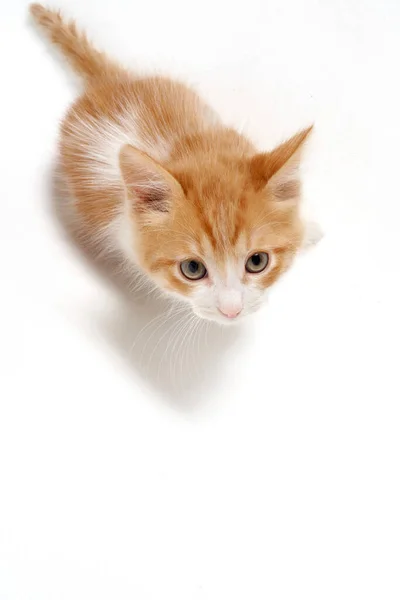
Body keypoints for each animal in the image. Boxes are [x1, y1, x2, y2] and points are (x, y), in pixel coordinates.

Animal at [29, 3, 318, 324]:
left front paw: (309, 230)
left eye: (257, 261)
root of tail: (110, 82)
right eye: (192, 269)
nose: (232, 311)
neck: (189, 152)